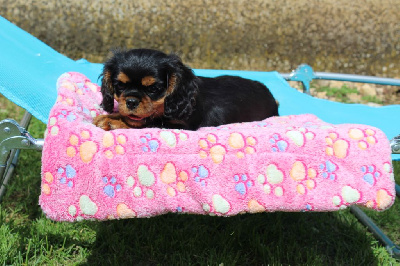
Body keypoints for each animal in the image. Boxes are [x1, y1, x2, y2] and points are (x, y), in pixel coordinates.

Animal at [93, 48, 278, 131]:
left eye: (153, 88)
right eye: (120, 85)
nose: (131, 101)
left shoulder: (181, 126)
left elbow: (148, 123)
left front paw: (112, 121)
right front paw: (111, 115)